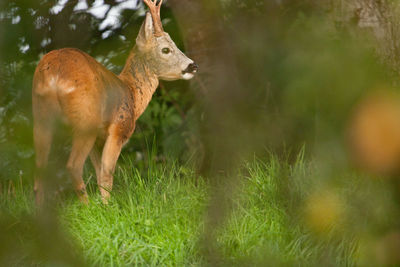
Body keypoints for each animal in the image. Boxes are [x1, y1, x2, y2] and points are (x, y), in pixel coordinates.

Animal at [32, 0, 198, 205]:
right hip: (86, 118)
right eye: (166, 49)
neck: (132, 94)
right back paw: (86, 207)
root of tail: (55, 72)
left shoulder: (99, 137)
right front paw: (107, 207)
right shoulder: (119, 127)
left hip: (40, 114)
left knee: (39, 171)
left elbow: (99, 173)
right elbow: (107, 172)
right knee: (73, 166)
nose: (192, 65)